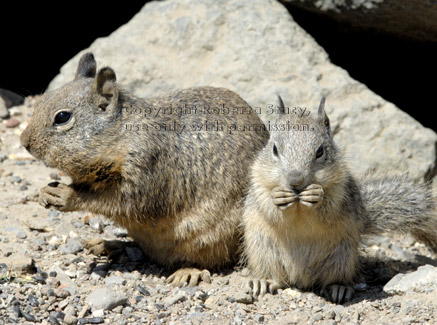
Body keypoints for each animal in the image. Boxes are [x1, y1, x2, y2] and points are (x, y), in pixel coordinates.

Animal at [22, 52, 270, 284]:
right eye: (41, 101)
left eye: (62, 117)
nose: (24, 142)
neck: (123, 135)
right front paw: (44, 192)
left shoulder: (146, 172)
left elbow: (114, 201)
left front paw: (64, 195)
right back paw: (108, 244)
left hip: (210, 239)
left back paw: (187, 272)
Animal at [242, 96, 436, 302]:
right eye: (274, 149)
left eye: (320, 151)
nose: (295, 181)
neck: (298, 203)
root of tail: (301, 280)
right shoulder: (257, 181)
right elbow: (266, 203)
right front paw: (278, 197)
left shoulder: (341, 189)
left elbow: (330, 208)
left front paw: (316, 196)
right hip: (264, 250)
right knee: (276, 276)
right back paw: (263, 281)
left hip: (342, 256)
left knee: (334, 278)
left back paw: (338, 288)